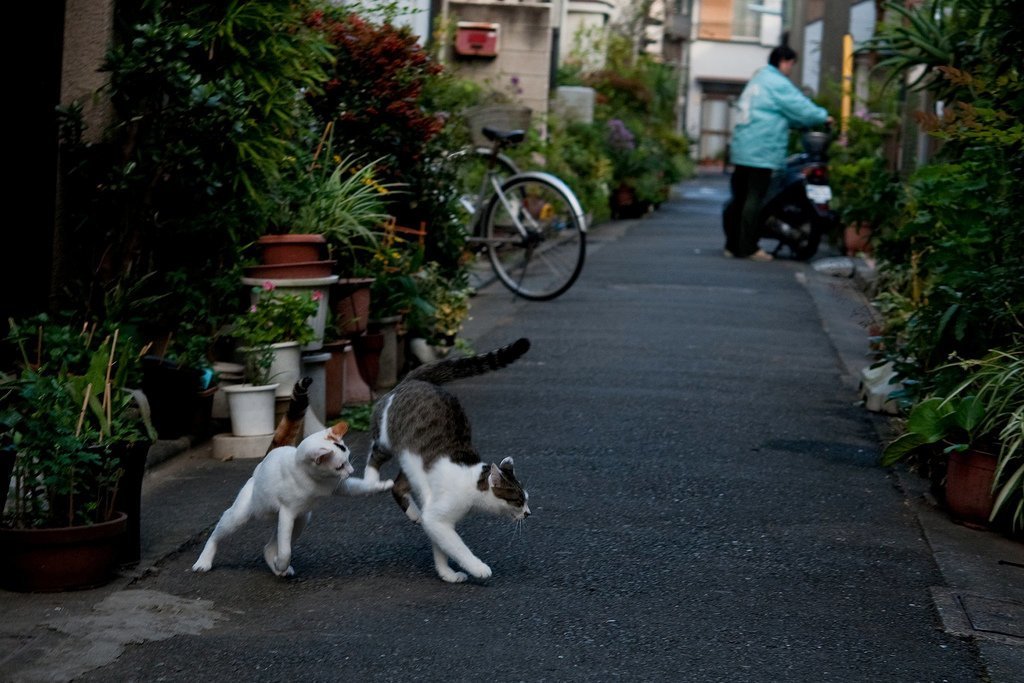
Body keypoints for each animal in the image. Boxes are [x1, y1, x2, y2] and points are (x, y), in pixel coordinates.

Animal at [362, 335, 536, 581]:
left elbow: (441, 548)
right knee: (375, 455)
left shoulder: (438, 519)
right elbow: (458, 547)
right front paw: (479, 568)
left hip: (411, 467)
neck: (472, 483)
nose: (529, 513)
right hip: (386, 439)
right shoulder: (439, 518)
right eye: (519, 500)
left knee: (398, 486)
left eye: (526, 499)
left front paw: (447, 574)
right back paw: (370, 481)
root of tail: (414, 381)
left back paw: (414, 513)